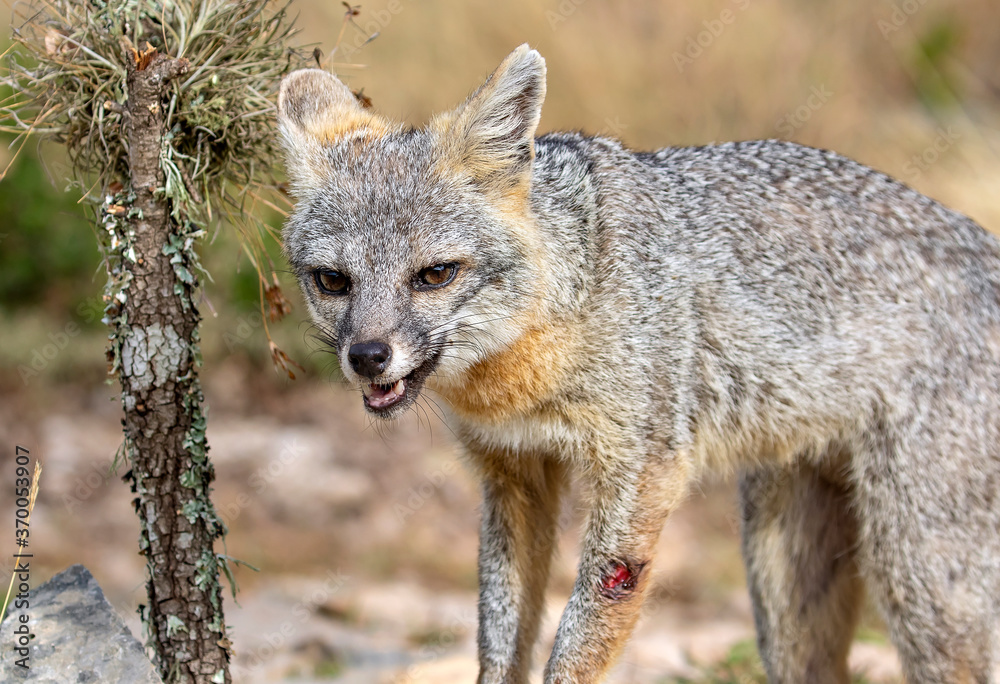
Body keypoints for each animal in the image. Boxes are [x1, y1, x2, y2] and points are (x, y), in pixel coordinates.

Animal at [276, 45, 1000, 683]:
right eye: (332, 281)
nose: (367, 357)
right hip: (785, 587)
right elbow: (500, 637)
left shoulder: (643, 472)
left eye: (434, 275)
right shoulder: (513, 475)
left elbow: (581, 640)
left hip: (916, 579)